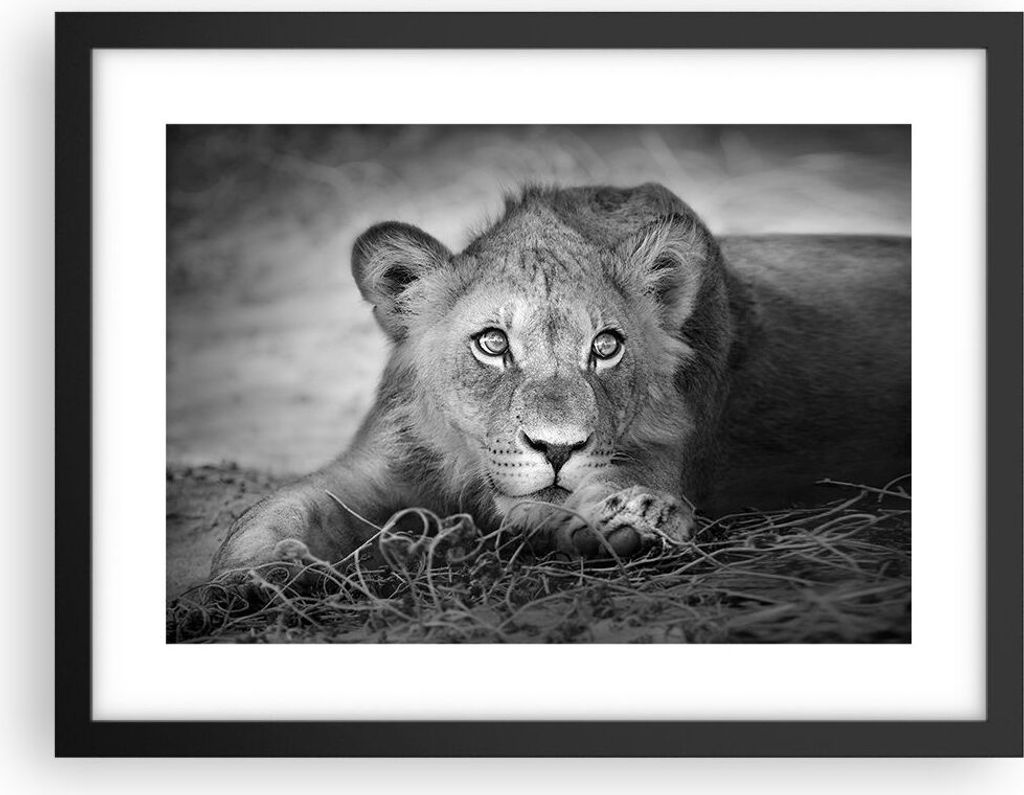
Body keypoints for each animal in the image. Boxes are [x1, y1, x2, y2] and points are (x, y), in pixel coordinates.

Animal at [211, 183, 909, 575]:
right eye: (492, 343)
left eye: (606, 347)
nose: (557, 449)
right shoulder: (377, 465)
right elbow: (276, 509)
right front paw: (248, 578)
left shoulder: (661, 452)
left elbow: (602, 492)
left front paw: (634, 518)